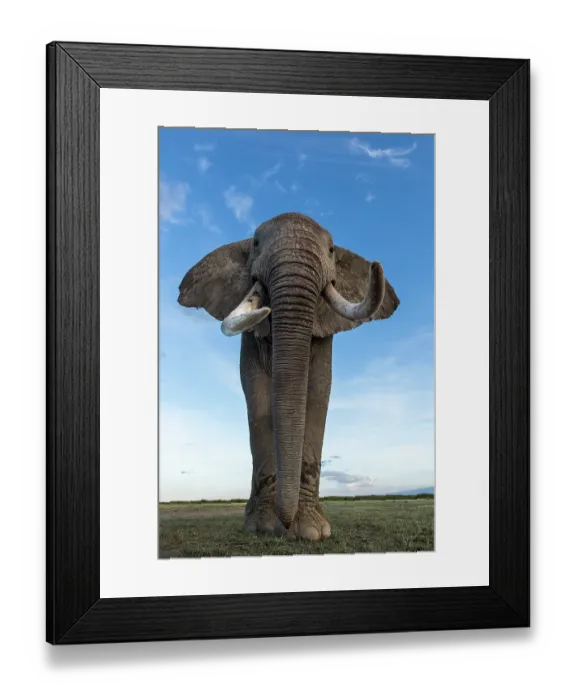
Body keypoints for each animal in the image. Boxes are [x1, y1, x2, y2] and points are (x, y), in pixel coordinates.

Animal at [177, 212, 400, 541]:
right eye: (256, 243)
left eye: (331, 249)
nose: (286, 525)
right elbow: (257, 397)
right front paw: (262, 527)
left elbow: (318, 394)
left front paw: (311, 531)